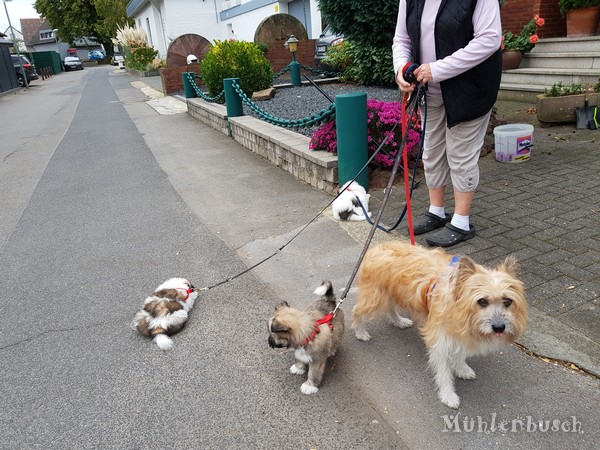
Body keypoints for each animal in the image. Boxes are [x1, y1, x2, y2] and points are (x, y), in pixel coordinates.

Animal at [352, 241, 524, 410]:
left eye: (507, 301)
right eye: (482, 301)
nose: (499, 327)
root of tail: (377, 247)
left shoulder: (460, 333)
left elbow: (460, 355)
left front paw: (461, 368)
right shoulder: (440, 341)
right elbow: (444, 371)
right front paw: (448, 395)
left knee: (390, 309)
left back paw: (399, 321)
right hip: (374, 297)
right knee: (357, 311)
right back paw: (360, 332)